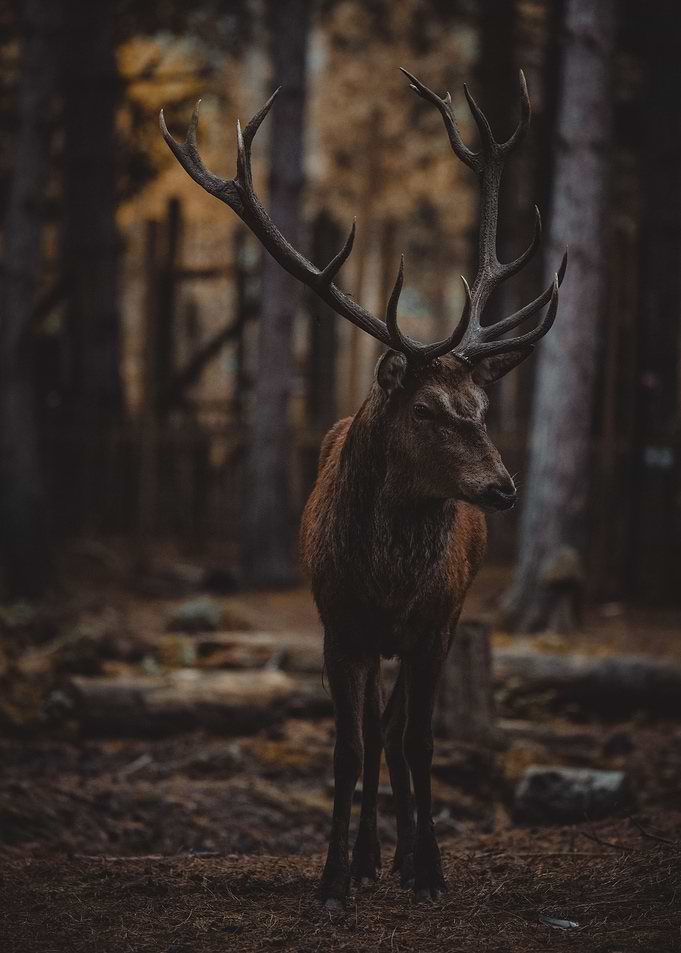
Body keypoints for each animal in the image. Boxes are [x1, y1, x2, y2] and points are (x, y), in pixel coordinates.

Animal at [161, 67, 567, 909]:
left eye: (481, 407)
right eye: (424, 409)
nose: (501, 488)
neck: (384, 582)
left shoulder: (435, 623)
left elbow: (421, 741)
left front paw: (430, 869)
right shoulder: (335, 622)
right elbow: (348, 747)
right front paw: (332, 877)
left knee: (399, 730)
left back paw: (401, 854)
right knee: (375, 731)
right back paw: (370, 855)